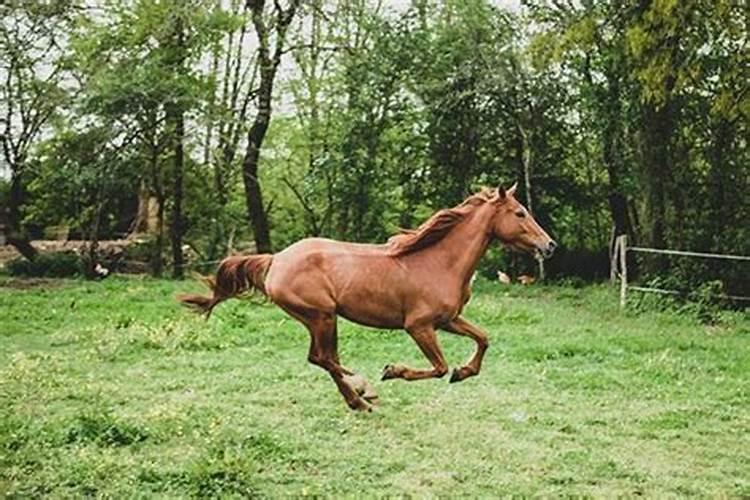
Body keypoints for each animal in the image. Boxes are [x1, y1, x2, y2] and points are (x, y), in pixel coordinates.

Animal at [181, 184, 560, 410]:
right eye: (520, 213)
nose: (550, 245)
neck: (439, 262)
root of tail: (276, 259)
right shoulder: (419, 326)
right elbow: (438, 367)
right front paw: (393, 371)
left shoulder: (448, 320)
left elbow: (483, 339)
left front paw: (464, 371)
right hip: (321, 316)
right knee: (323, 358)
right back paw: (362, 391)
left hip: (322, 319)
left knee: (322, 358)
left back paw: (358, 398)